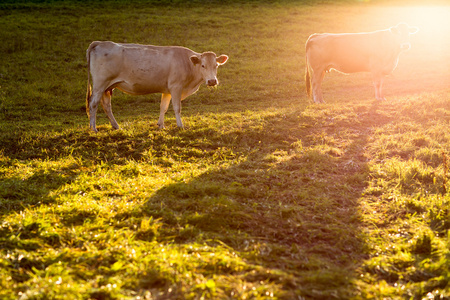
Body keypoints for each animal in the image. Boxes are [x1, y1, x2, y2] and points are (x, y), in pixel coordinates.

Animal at [85, 41, 229, 132]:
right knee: (93, 104)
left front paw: (161, 125)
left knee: (106, 105)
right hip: (100, 84)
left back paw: (115, 126)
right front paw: (180, 125)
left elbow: (163, 107)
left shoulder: (167, 90)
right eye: (203, 65)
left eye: (216, 65)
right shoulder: (176, 87)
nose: (212, 81)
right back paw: (93, 128)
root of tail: (101, 43)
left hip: (107, 87)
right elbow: (177, 108)